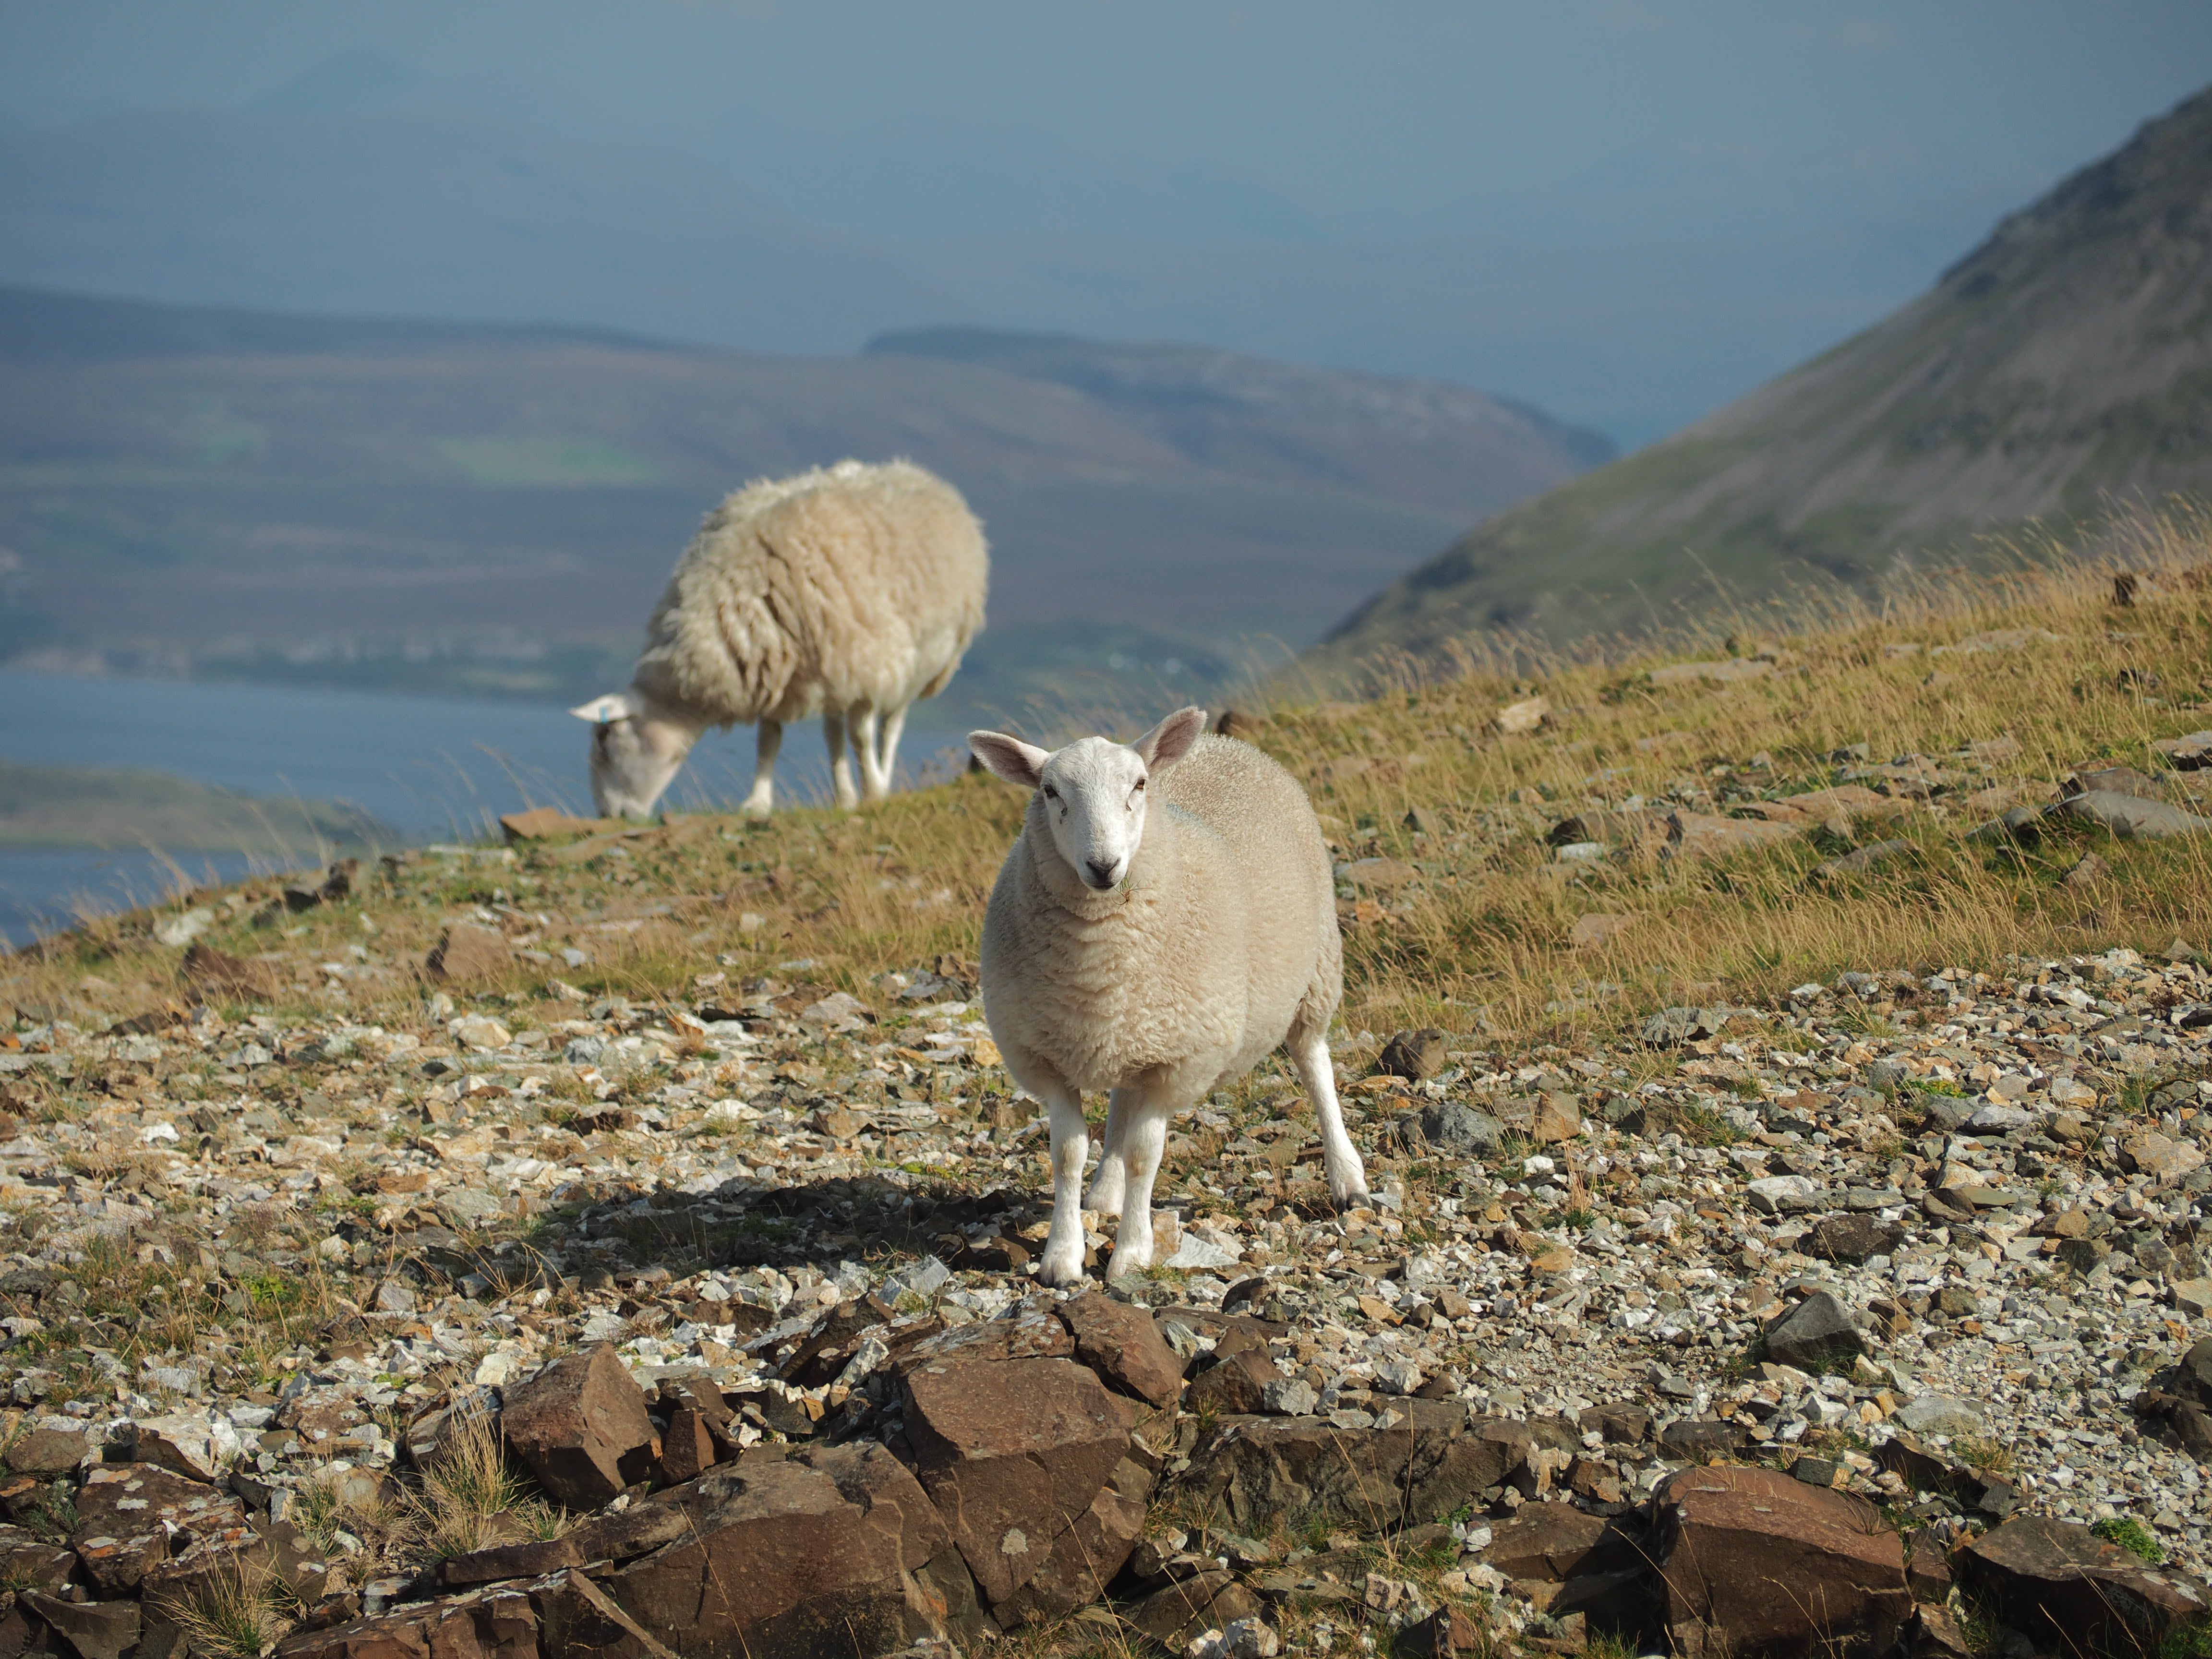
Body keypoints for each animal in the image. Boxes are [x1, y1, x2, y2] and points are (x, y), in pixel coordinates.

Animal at [573, 459, 987, 817]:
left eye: (605, 743)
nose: (607, 815)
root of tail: (912, 470)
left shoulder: (867, 660)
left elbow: (861, 735)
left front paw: (873, 791)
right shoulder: (775, 666)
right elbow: (769, 740)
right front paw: (757, 802)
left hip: (920, 658)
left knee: (891, 725)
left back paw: (879, 779)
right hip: (831, 667)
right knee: (833, 730)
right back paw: (843, 795)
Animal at [967, 705, 1369, 1286]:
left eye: (1139, 785)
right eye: (1049, 790)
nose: (1104, 866)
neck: (1099, 963)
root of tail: (1225, 743)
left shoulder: (1177, 1059)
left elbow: (1144, 1154)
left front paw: (1133, 1253)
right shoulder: (1047, 1056)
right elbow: (1067, 1154)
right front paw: (1063, 1256)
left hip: (1315, 974)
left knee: (1314, 1064)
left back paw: (1348, 1178)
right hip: (1135, 1029)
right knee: (1121, 1097)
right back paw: (1104, 1193)